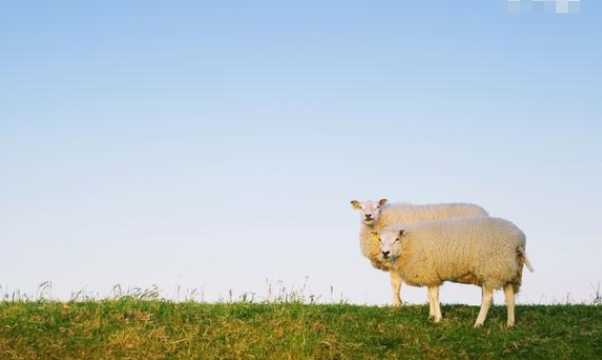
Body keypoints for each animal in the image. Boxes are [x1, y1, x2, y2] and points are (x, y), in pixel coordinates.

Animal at [350, 200, 486, 306]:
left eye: (377, 206)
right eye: (360, 207)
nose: (368, 216)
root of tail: (484, 212)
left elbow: (396, 284)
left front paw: (396, 305)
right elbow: (394, 284)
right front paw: (398, 303)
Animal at [376, 215, 536, 328]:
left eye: (397, 239)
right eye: (380, 240)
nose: (385, 253)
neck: (409, 243)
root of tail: (519, 239)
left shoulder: (430, 271)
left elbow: (434, 296)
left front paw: (438, 319)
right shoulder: (431, 274)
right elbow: (431, 295)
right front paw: (433, 316)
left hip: (491, 269)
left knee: (487, 298)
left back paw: (478, 323)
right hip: (509, 270)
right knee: (510, 296)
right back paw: (510, 323)